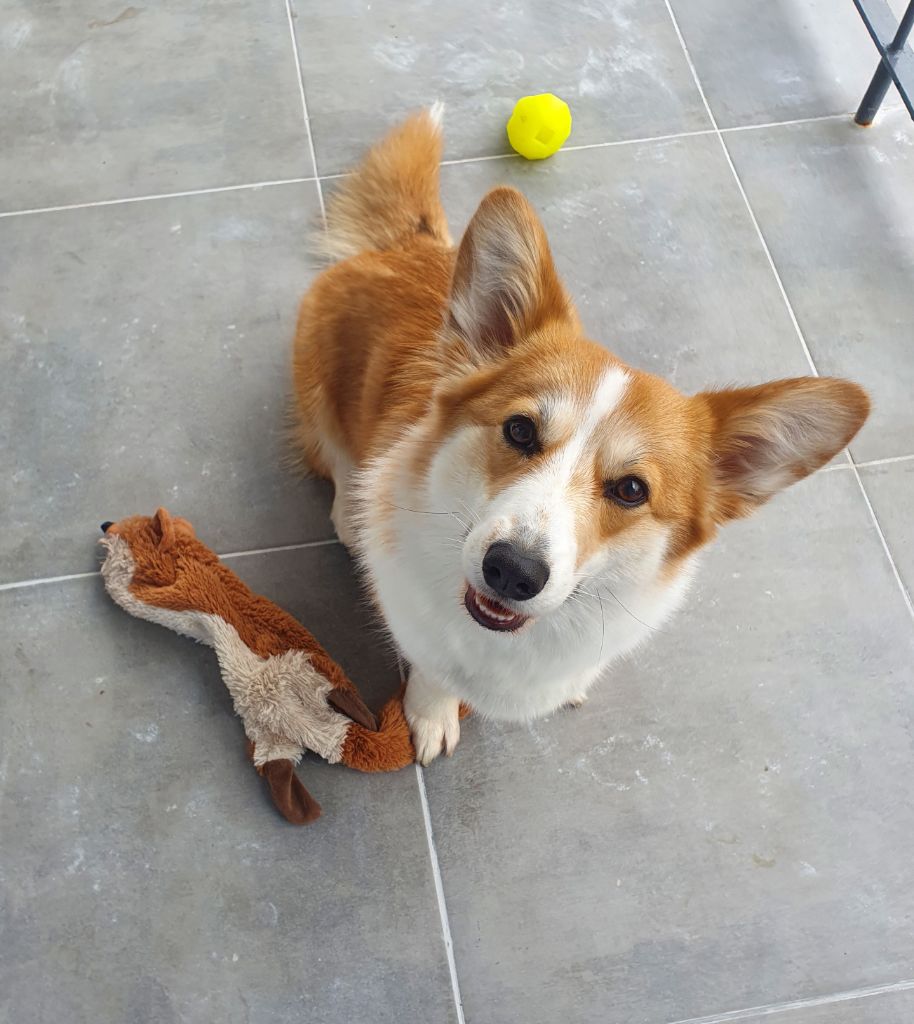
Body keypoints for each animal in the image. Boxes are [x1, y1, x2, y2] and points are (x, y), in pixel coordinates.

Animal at [288, 108, 867, 765]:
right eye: (519, 430)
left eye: (632, 490)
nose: (511, 572)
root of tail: (405, 243)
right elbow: (433, 668)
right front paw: (430, 716)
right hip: (314, 380)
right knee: (333, 455)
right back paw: (347, 509)